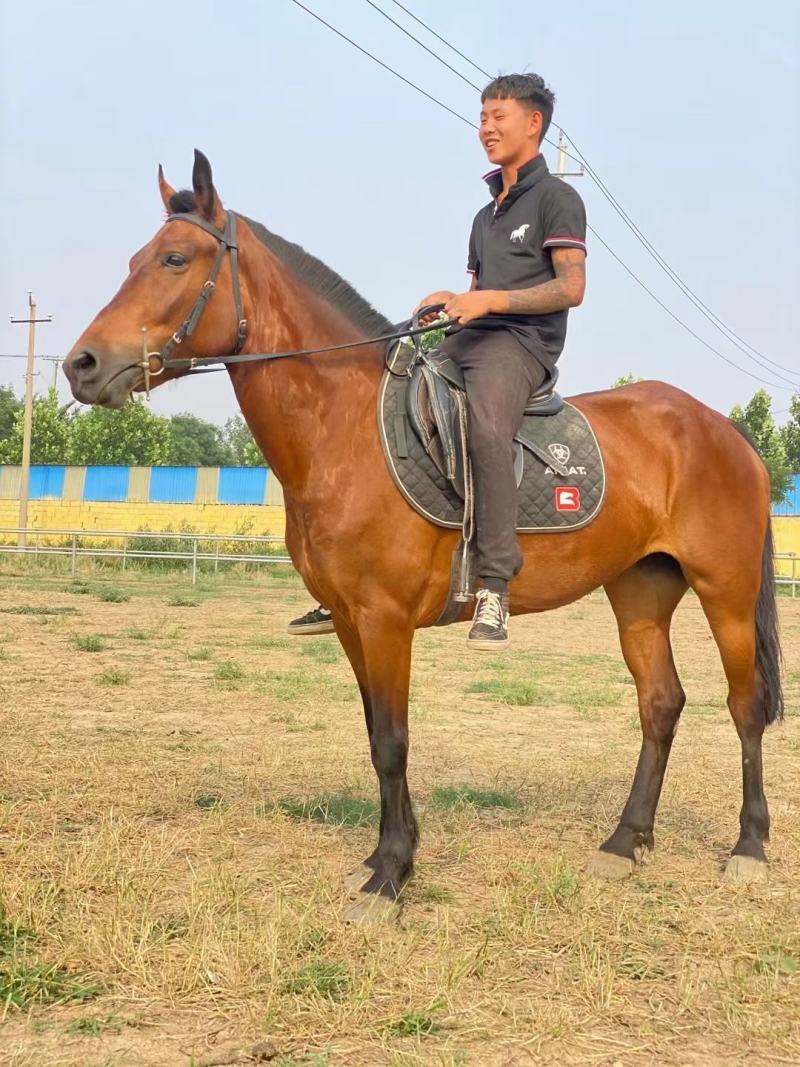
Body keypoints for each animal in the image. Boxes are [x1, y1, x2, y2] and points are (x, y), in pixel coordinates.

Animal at [63, 150, 783, 921]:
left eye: (174, 258)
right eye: (135, 259)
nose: (82, 365)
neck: (343, 427)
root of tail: (722, 428)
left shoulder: (384, 620)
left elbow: (392, 740)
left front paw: (389, 876)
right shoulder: (349, 619)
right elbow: (375, 734)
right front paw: (390, 856)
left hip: (726, 592)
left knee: (744, 707)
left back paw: (748, 846)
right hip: (640, 591)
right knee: (661, 704)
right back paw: (625, 841)